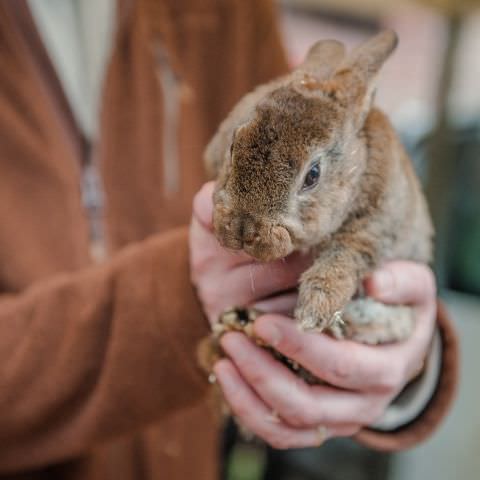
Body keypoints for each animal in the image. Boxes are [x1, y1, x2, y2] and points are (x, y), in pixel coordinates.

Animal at [201, 30, 434, 344]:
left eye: (312, 175)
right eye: (234, 143)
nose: (242, 230)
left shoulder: (374, 230)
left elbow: (344, 258)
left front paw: (314, 312)